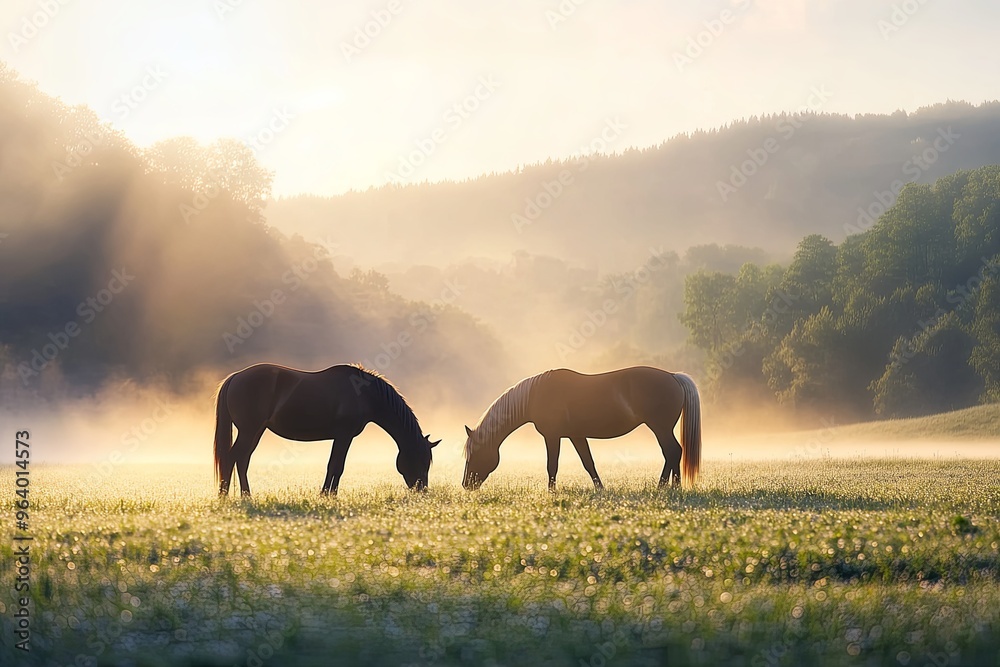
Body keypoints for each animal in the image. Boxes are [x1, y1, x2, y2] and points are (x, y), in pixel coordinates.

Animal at [213, 363, 438, 496]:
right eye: (421, 460)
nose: (422, 490)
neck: (365, 394)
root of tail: (235, 377)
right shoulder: (344, 436)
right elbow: (336, 466)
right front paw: (328, 494)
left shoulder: (341, 437)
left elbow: (335, 466)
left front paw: (329, 494)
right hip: (249, 431)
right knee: (233, 457)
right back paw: (229, 496)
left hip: (255, 432)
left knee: (241, 459)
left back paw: (241, 495)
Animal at [462, 367, 701, 491]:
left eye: (474, 453)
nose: (466, 484)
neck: (534, 396)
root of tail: (673, 377)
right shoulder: (576, 436)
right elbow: (588, 463)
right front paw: (600, 489)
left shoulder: (552, 436)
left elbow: (552, 465)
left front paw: (551, 492)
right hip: (663, 429)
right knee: (675, 452)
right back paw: (675, 487)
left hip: (660, 428)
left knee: (671, 452)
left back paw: (663, 487)